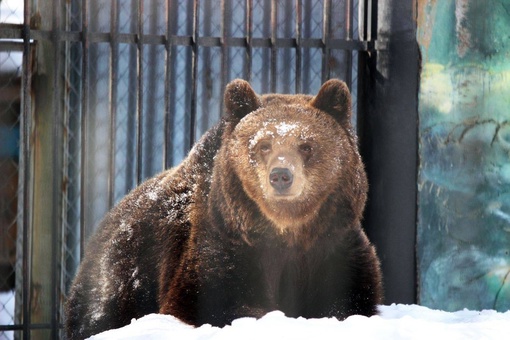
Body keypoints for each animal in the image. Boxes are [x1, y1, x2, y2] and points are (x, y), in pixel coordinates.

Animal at [64, 78, 382, 338]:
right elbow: (213, 299)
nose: (281, 175)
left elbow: (350, 298)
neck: (287, 232)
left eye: (306, 145)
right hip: (123, 271)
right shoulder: (225, 241)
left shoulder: (333, 245)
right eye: (263, 145)